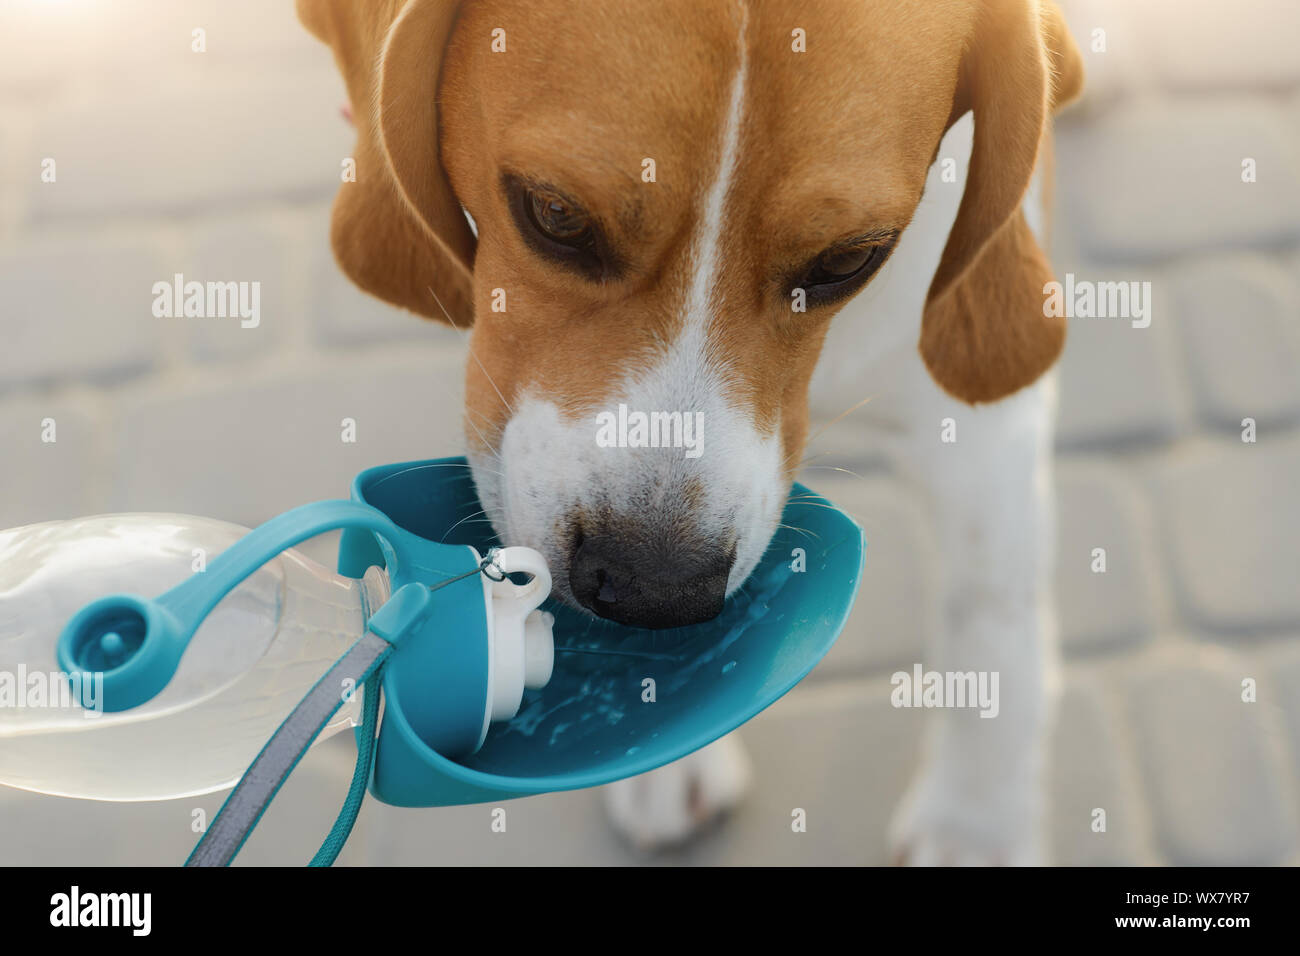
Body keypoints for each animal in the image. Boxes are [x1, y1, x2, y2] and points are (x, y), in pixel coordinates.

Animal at [299, 0, 1081, 863]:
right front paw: (665, 755)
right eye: (555, 214)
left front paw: (977, 826)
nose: (653, 590)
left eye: (850, 260)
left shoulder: (986, 433)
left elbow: (991, 628)